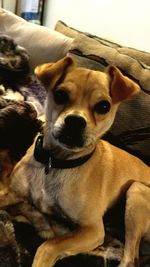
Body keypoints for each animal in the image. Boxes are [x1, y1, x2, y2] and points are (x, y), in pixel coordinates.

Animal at [0, 57, 149, 267]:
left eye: (104, 106)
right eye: (60, 95)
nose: (75, 121)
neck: (54, 163)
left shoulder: (93, 230)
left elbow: (49, 245)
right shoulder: (13, 193)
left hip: (137, 190)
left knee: (129, 258)